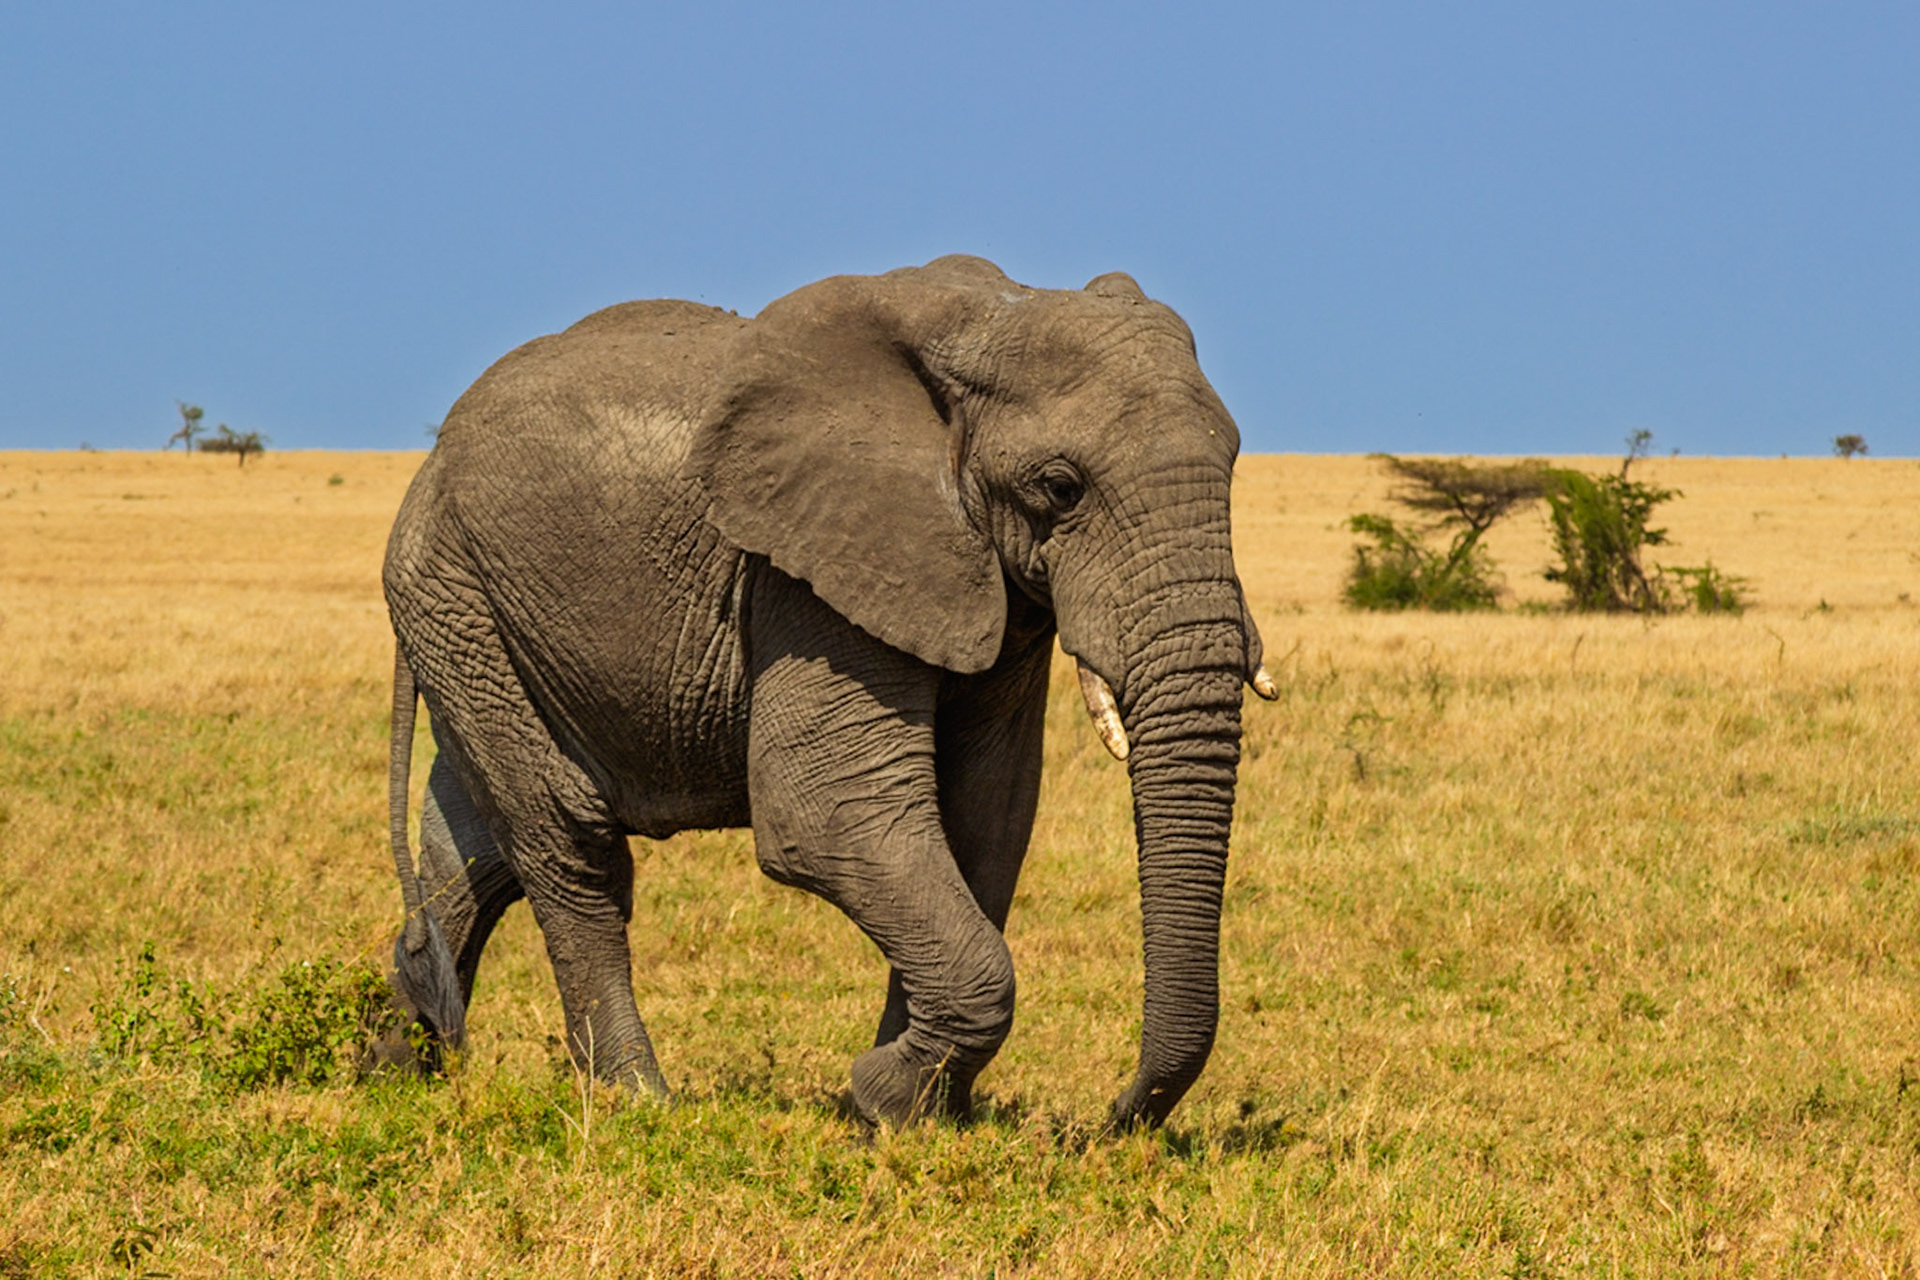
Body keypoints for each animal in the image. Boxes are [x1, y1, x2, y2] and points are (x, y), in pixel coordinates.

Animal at [383, 254, 1277, 1129]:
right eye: (1061, 487)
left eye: (1234, 464)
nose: (1113, 1118)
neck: (984, 327)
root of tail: (429, 462)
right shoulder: (806, 577)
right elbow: (830, 814)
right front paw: (887, 1098)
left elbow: (983, 817)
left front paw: (915, 1114)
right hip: (454, 590)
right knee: (568, 837)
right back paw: (637, 1103)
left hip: (470, 616)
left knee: (473, 855)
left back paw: (389, 1074)